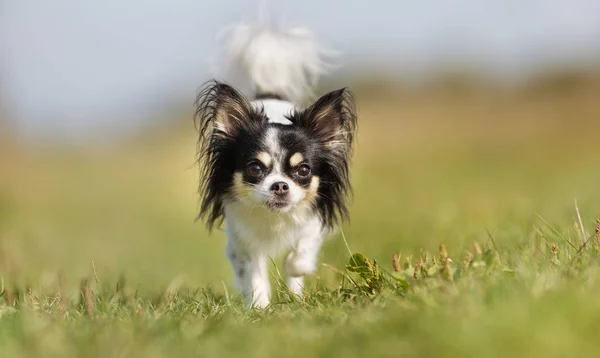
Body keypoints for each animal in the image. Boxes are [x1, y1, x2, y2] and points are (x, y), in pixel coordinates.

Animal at [195, 21, 358, 306]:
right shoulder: (241, 242)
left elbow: (299, 256)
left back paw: (296, 296)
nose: (280, 186)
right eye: (254, 168)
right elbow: (253, 275)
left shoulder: (312, 222)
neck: (275, 218)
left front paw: (296, 268)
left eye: (303, 170)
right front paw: (259, 306)